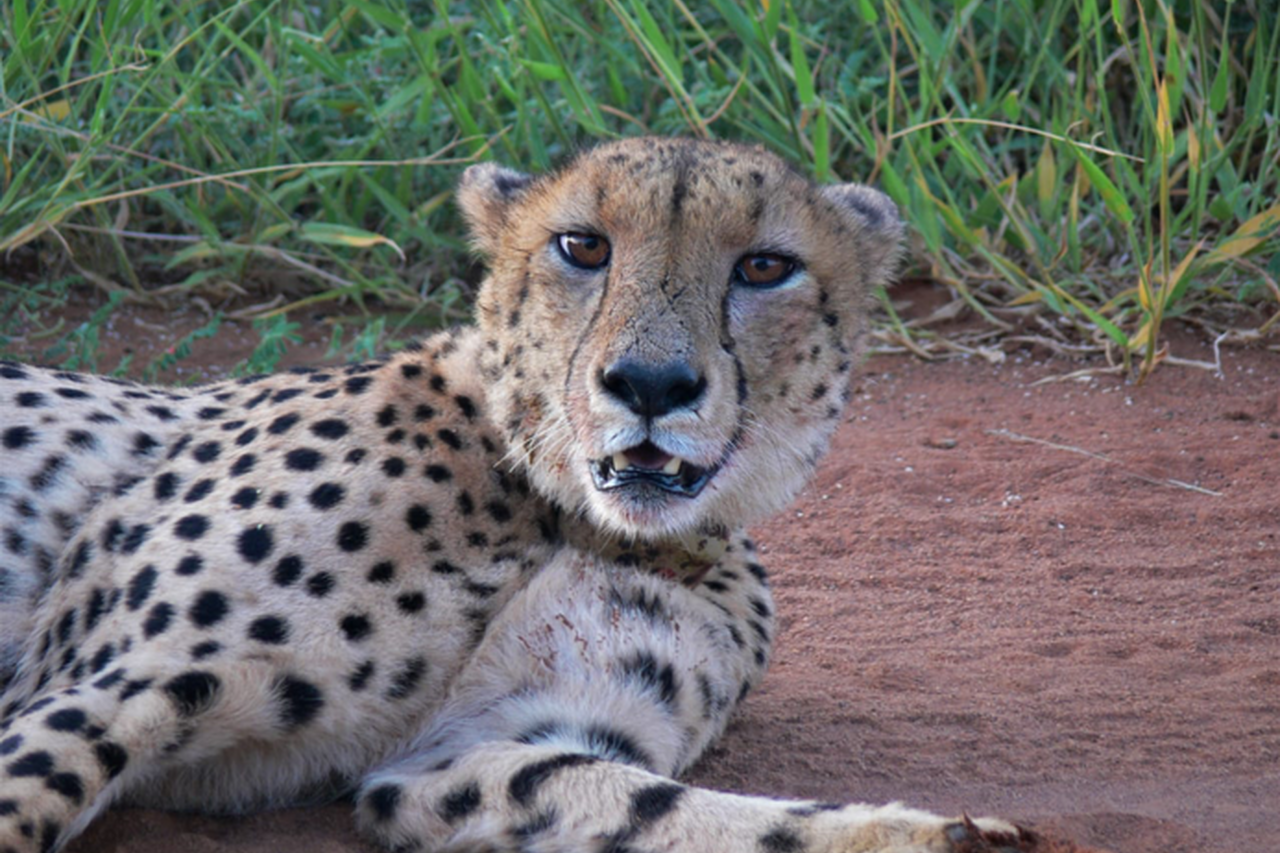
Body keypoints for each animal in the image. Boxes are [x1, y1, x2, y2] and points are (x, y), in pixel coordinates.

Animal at [0, 137, 1053, 853]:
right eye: (581, 247)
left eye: (764, 266)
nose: (651, 383)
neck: (554, 508)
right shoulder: (104, 687)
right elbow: (32, 795)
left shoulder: (459, 755)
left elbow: (660, 805)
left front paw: (931, 834)